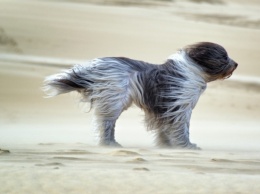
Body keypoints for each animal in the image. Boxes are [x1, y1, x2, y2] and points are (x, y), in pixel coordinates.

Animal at [43, 41, 238, 149]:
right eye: (224, 56)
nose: (236, 64)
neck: (193, 70)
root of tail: (96, 65)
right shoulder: (179, 106)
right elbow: (181, 128)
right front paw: (186, 146)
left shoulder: (164, 107)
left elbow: (164, 128)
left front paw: (166, 146)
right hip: (114, 99)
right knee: (106, 123)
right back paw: (109, 143)